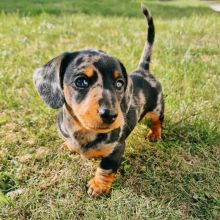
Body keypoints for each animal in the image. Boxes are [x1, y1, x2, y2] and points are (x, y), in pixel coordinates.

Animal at [32, 6, 163, 199]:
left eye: (119, 84)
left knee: (157, 121)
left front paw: (98, 186)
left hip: (157, 108)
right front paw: (70, 146)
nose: (110, 115)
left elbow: (105, 169)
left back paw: (155, 133)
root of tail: (143, 71)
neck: (83, 131)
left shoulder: (116, 148)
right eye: (81, 81)